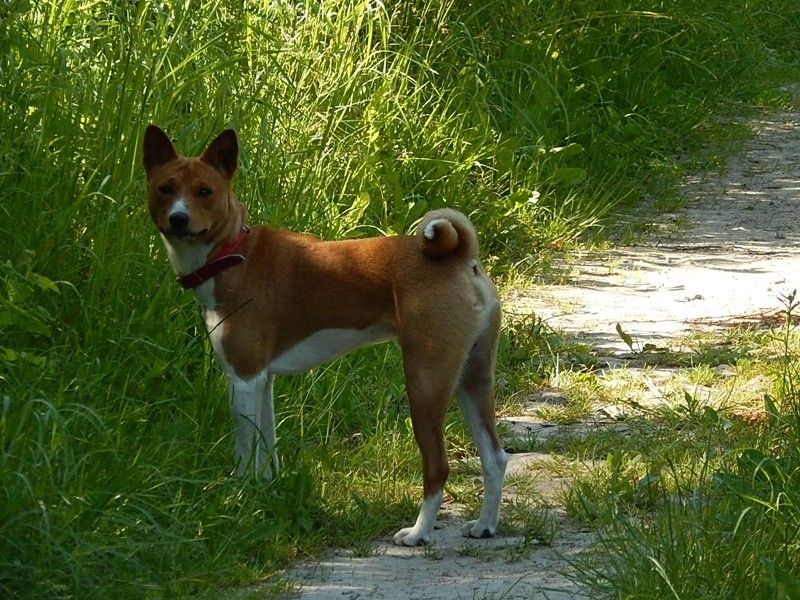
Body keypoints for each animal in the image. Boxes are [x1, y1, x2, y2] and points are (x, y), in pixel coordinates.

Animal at [142, 125, 507, 546]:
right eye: (166, 188)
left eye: (204, 191)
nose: (179, 218)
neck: (233, 254)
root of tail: (462, 256)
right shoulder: (263, 380)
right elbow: (268, 450)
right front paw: (267, 495)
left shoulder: (244, 377)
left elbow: (245, 451)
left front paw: (240, 496)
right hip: (472, 376)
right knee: (495, 457)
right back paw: (484, 525)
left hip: (426, 381)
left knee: (437, 466)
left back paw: (418, 533)